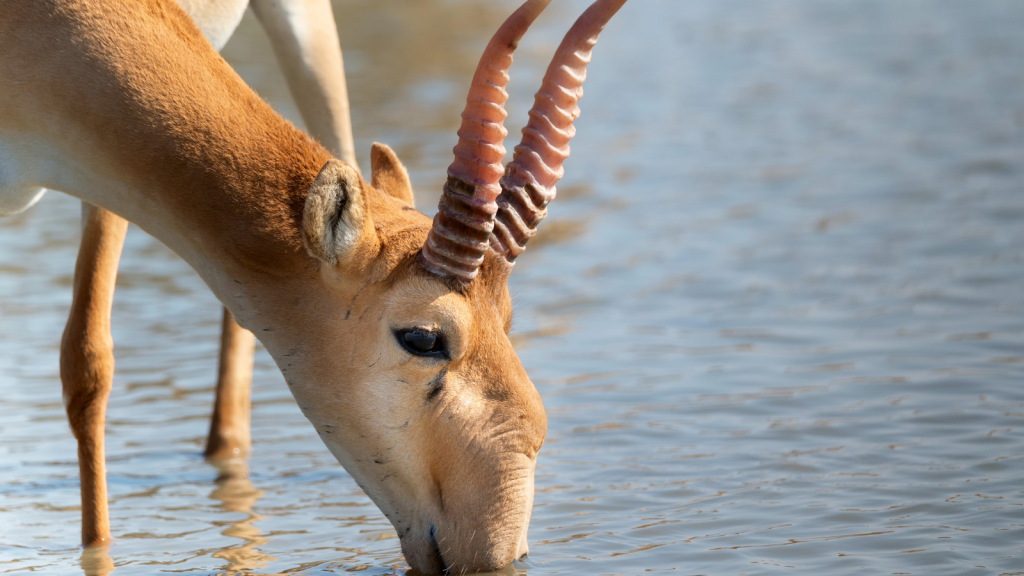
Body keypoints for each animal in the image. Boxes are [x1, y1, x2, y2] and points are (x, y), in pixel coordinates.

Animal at [0, 0, 626, 569]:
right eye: (423, 337)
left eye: (508, 319)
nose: (498, 548)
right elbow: (88, 367)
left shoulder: (104, 181)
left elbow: (87, 363)